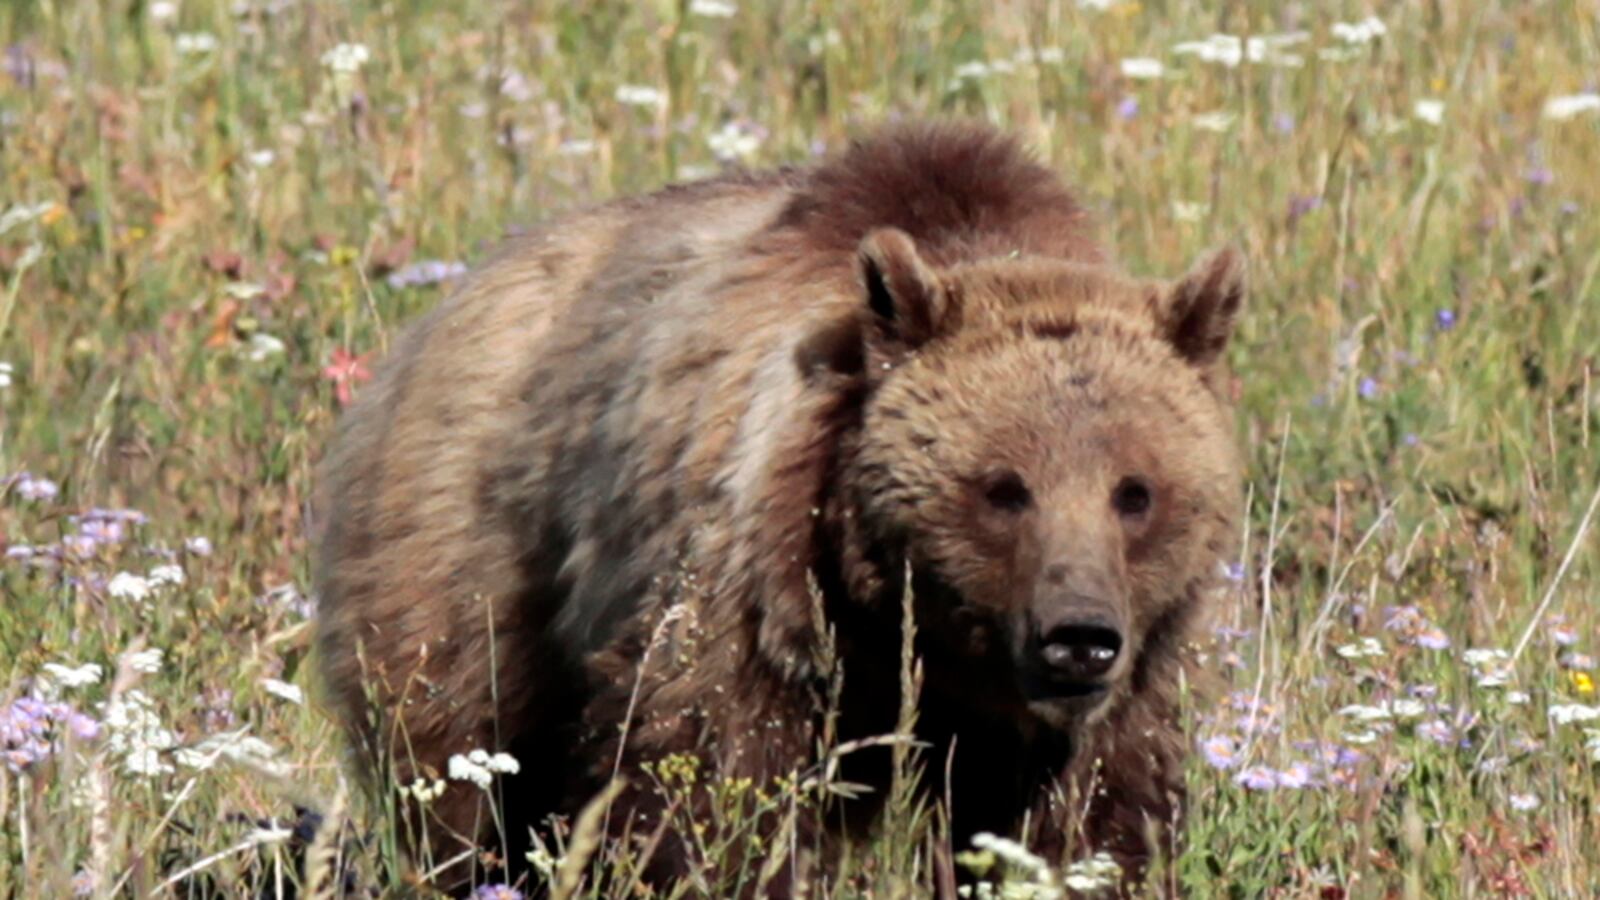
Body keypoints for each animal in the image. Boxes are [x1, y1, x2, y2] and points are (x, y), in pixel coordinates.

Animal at [314, 120, 1245, 895]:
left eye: (1136, 492)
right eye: (1003, 487)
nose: (1079, 636)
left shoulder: (1106, 699)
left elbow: (1091, 816)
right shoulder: (754, 589)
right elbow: (712, 783)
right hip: (470, 559)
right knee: (456, 765)